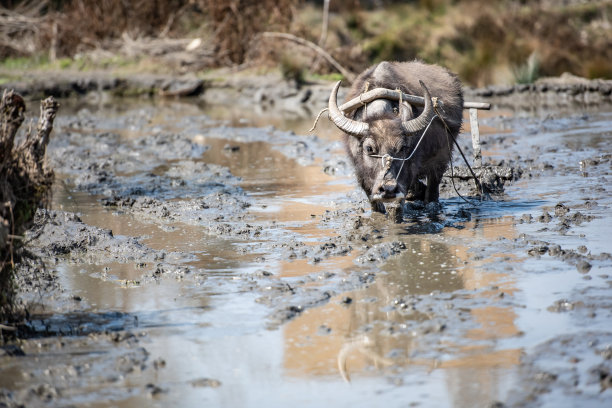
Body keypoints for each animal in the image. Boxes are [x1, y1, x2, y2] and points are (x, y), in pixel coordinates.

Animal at [328, 61, 462, 214]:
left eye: (402, 148)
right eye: (369, 148)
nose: (388, 189)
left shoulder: (407, 176)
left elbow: (398, 205)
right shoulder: (361, 175)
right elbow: (375, 204)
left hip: (441, 159)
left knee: (432, 189)